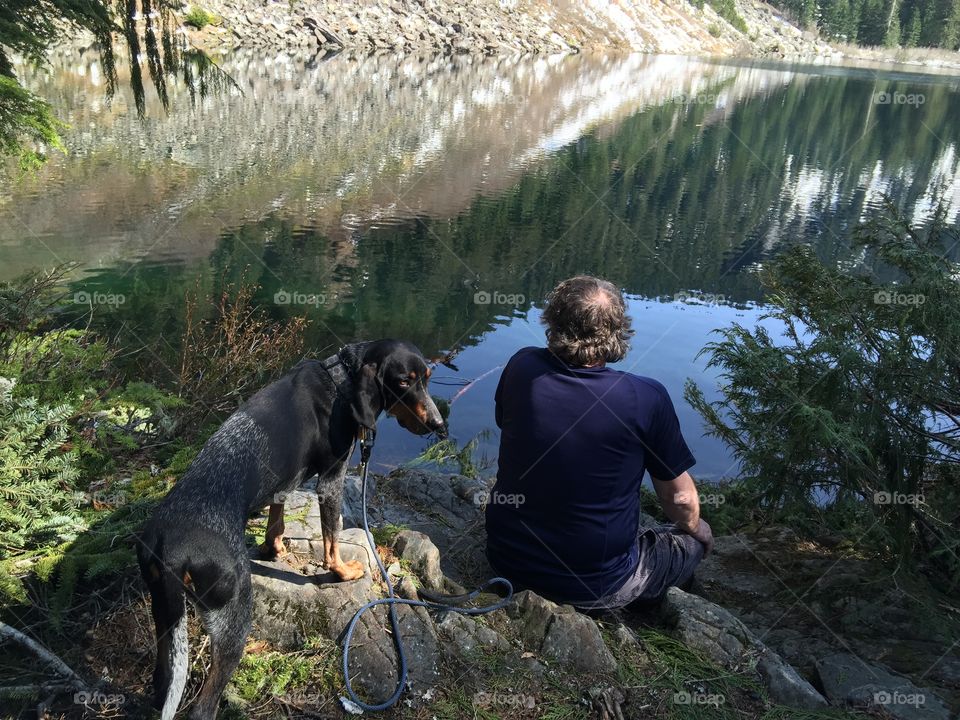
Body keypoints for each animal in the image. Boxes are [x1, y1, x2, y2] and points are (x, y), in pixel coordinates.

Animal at [139, 338, 446, 720]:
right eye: (404, 381)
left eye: (428, 377)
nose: (439, 424)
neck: (341, 380)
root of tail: (169, 545)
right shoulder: (331, 480)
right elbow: (331, 539)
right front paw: (342, 571)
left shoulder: (283, 479)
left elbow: (278, 512)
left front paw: (274, 547)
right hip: (232, 619)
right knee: (204, 705)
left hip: (166, 619)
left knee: (162, 679)